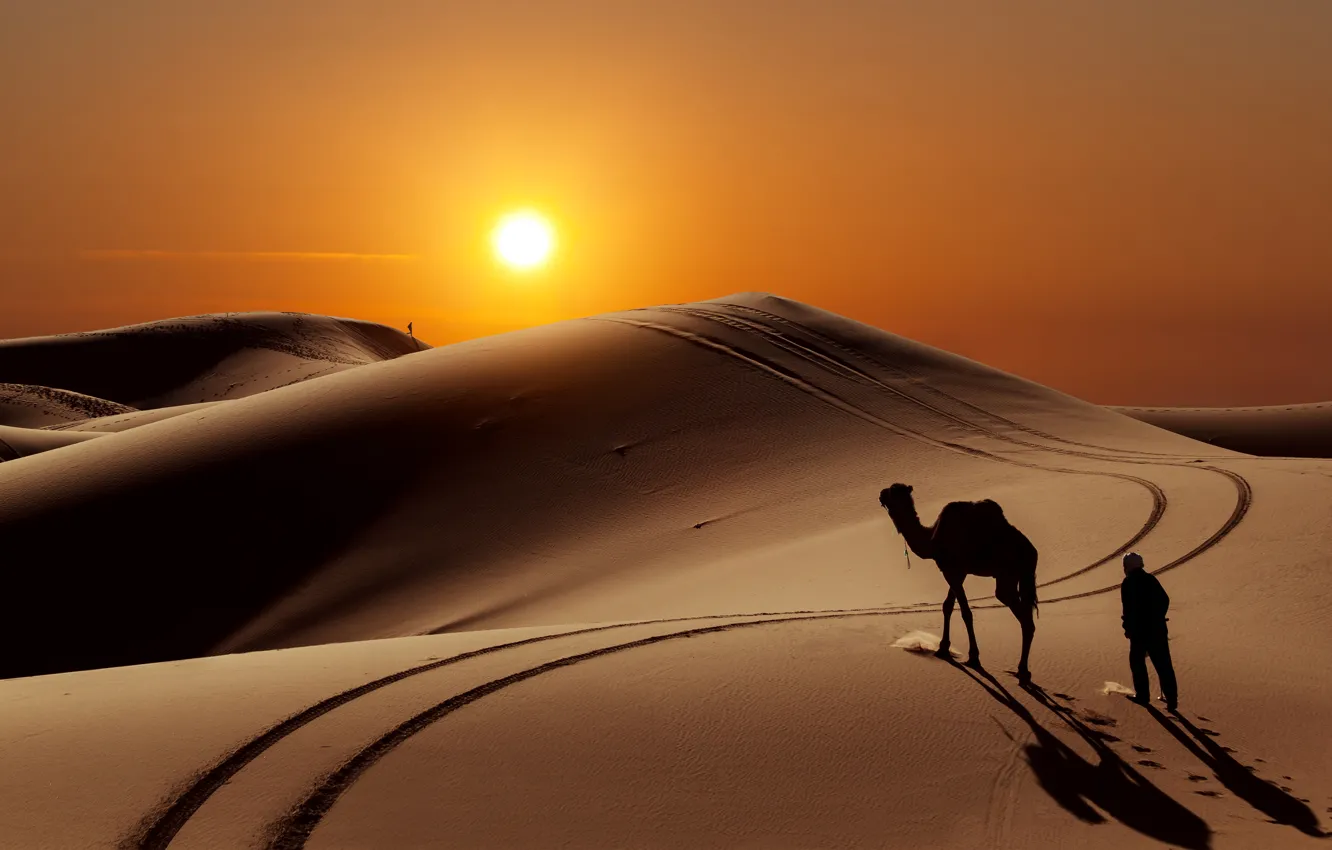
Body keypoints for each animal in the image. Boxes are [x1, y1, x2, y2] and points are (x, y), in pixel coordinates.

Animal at [879, 483, 1039, 680]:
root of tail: (1032, 553)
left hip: (1007, 575)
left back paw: (1022, 670)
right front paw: (942, 648)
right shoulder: (957, 572)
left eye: (892, 492)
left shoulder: (952, 570)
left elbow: (965, 612)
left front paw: (974, 657)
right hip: (1022, 577)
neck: (932, 539)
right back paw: (1023, 670)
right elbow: (947, 606)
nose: (881, 494)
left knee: (1022, 616)